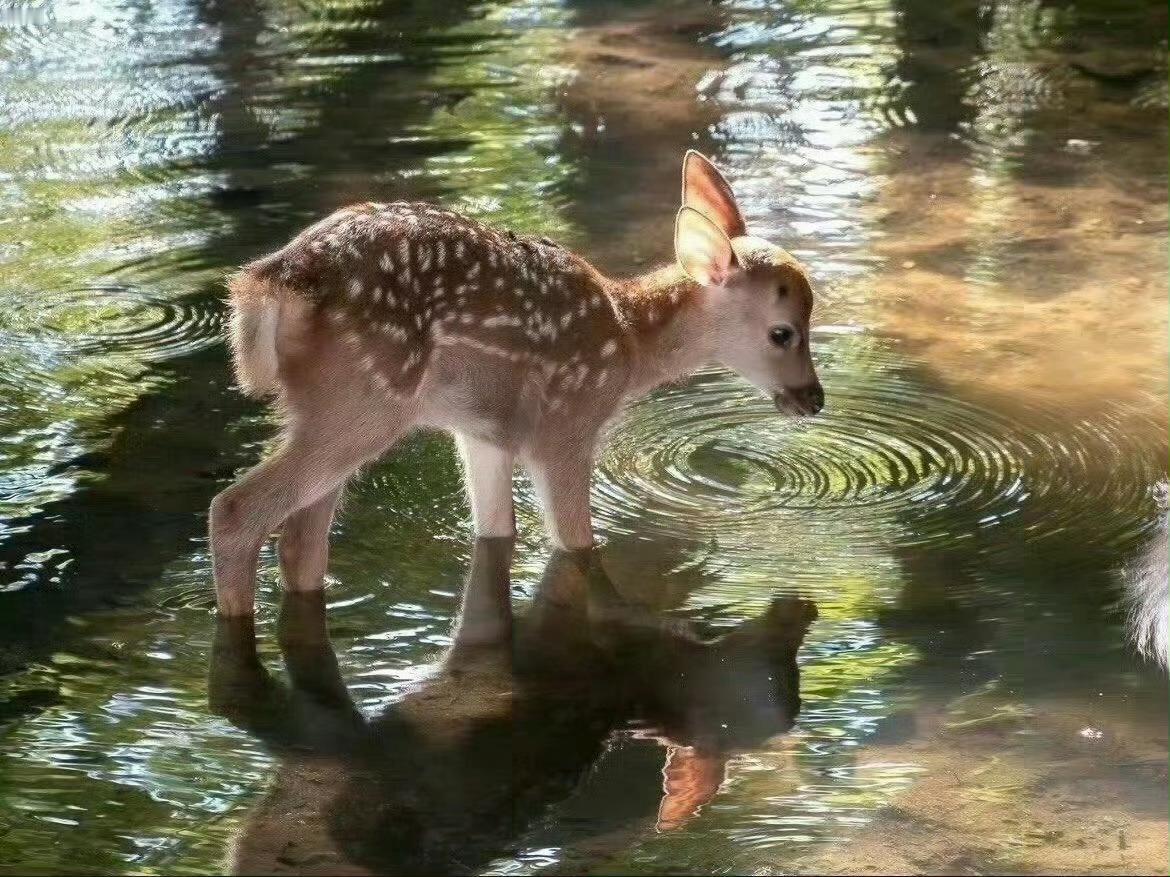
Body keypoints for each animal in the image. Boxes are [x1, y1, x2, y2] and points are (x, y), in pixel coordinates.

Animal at [212, 150, 823, 612]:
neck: (628, 341)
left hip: (330, 410)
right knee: (236, 511)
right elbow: (577, 545)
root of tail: (271, 283)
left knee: (300, 541)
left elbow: (496, 534)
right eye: (783, 333)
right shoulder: (566, 427)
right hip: (364, 400)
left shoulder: (483, 434)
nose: (814, 399)